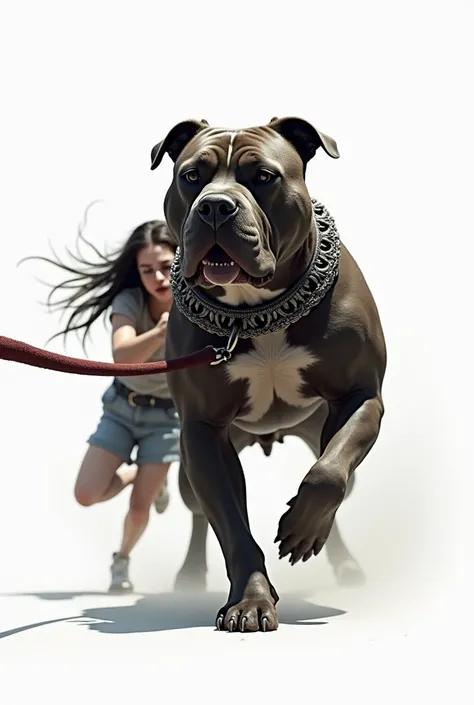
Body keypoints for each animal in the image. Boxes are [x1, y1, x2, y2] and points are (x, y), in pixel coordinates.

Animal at [150, 115, 386, 632]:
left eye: (263, 176)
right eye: (191, 176)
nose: (215, 206)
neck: (255, 312)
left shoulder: (362, 396)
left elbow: (327, 476)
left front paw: (301, 529)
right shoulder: (202, 432)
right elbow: (232, 527)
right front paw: (251, 601)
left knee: (336, 479)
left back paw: (342, 560)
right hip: (193, 468)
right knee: (199, 514)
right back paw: (189, 574)